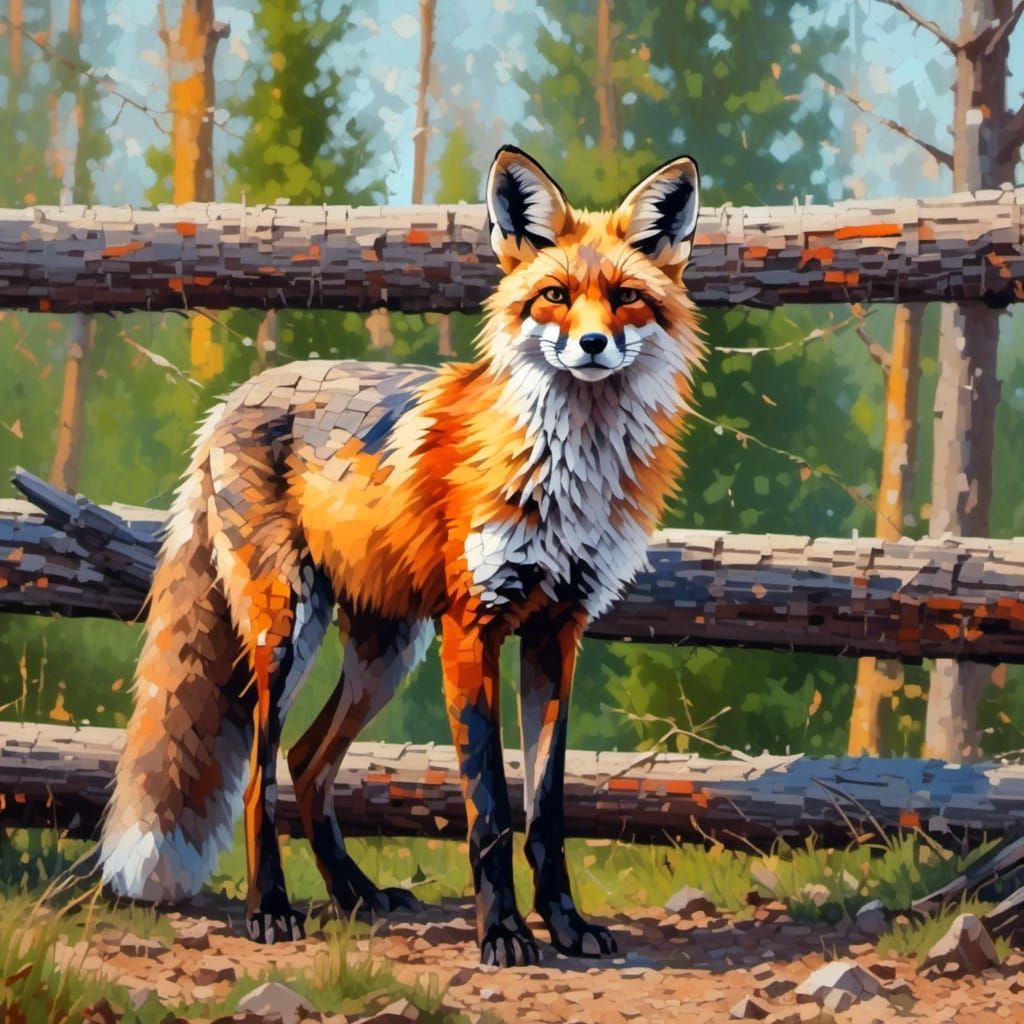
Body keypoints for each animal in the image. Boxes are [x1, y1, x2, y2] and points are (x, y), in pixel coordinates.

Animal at [97, 145, 704, 967]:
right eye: (554, 296)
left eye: (625, 299)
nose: (591, 346)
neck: (569, 472)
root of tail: (233, 399)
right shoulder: (472, 627)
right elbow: (490, 809)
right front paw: (503, 933)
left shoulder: (558, 631)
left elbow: (545, 810)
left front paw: (566, 925)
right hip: (288, 630)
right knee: (260, 777)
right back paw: (270, 909)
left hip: (385, 653)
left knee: (308, 763)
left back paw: (355, 895)